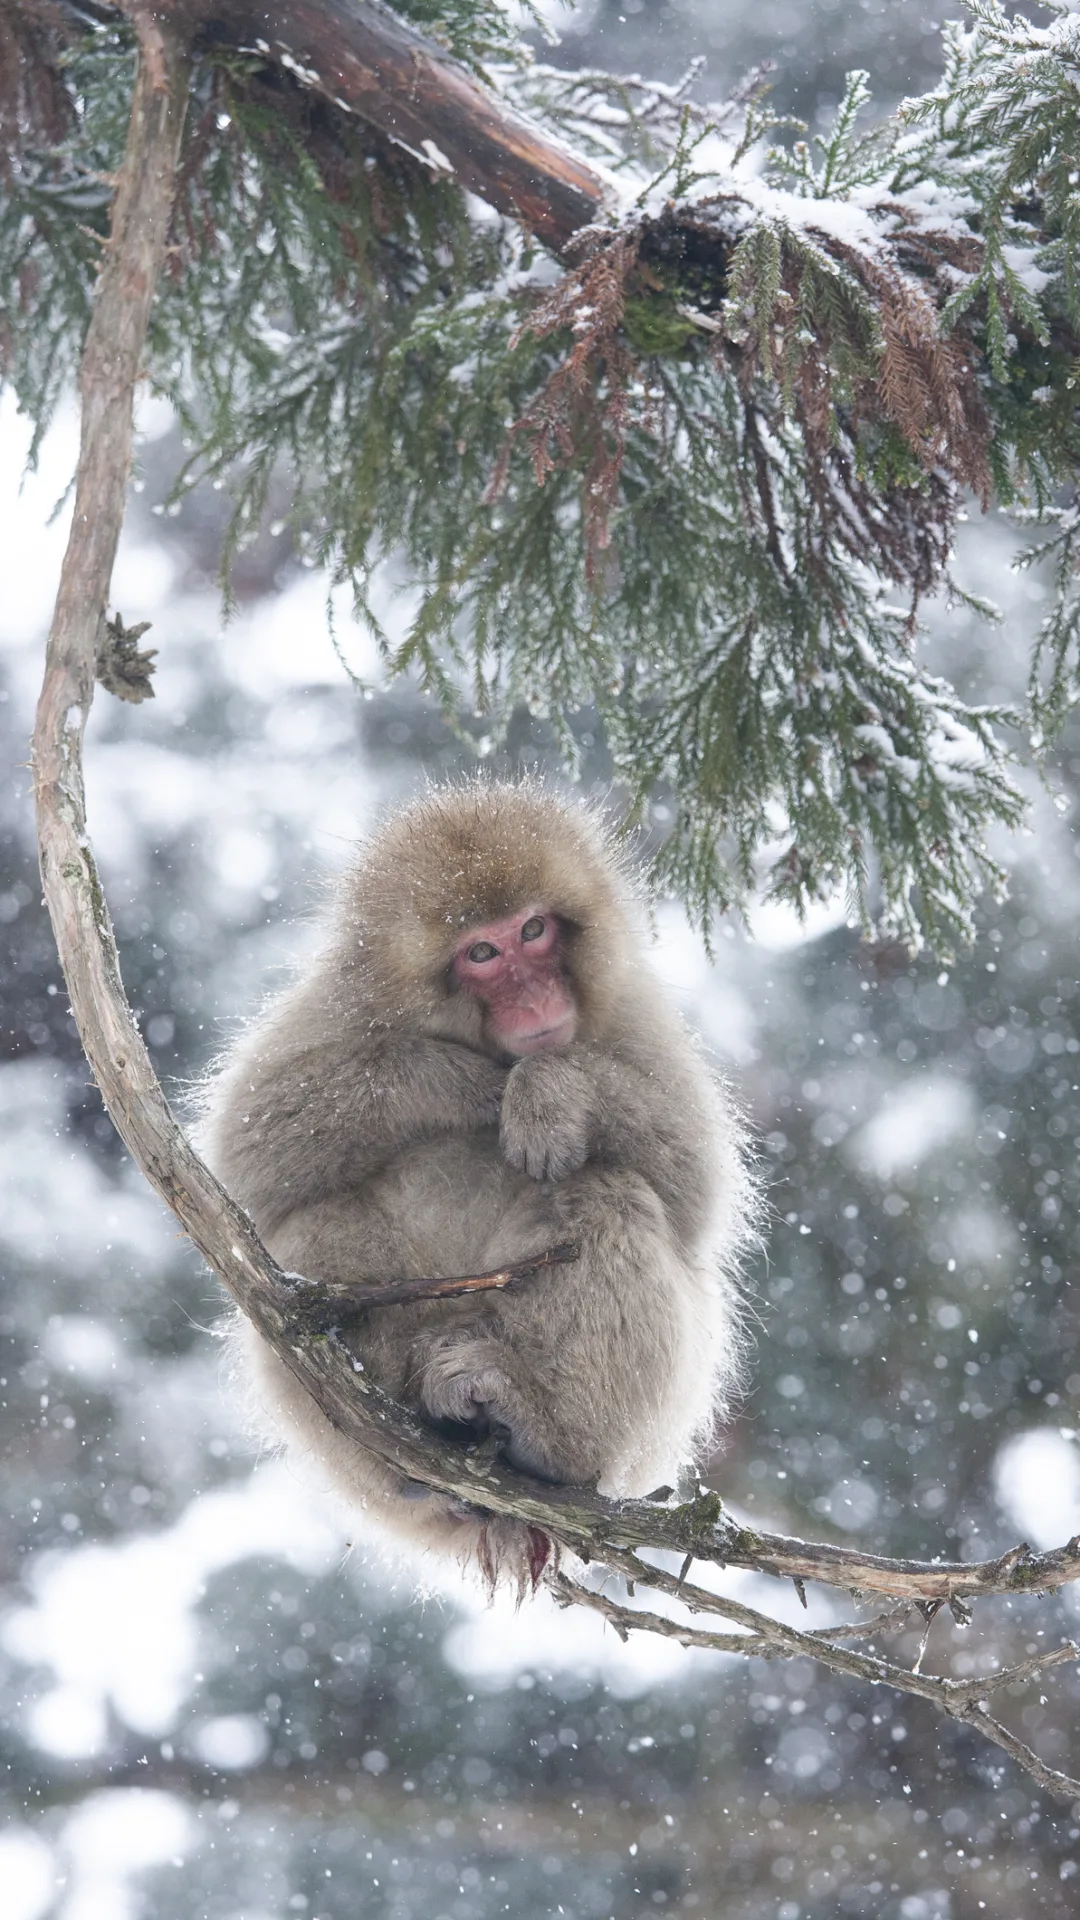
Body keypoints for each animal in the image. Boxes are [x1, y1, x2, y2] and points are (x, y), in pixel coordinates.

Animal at [205, 771, 753, 1582]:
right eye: (483, 951)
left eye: (535, 932)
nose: (535, 997)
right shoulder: (338, 1009)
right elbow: (250, 1158)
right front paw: (456, 1084)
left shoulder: (632, 1010)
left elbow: (694, 1180)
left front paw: (549, 1095)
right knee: (310, 1228)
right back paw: (405, 1437)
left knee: (607, 1193)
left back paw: (544, 1432)